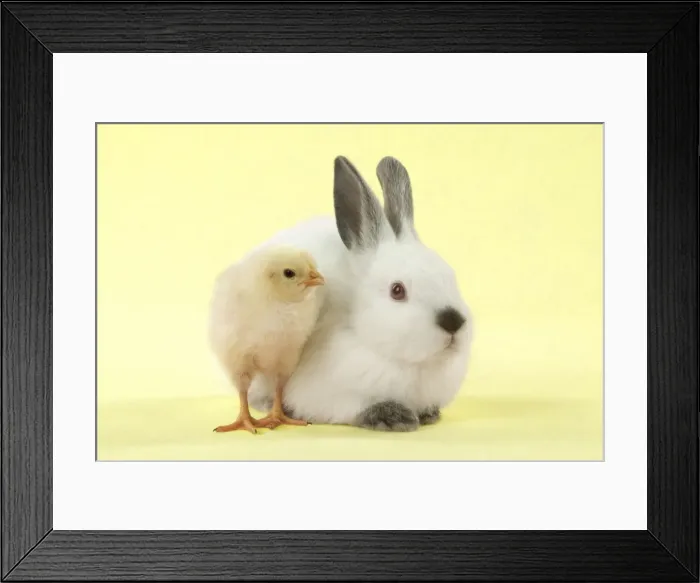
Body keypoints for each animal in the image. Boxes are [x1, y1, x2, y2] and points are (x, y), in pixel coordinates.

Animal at [246, 155, 473, 431]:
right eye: (397, 290)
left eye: (450, 276)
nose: (453, 321)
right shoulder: (328, 395)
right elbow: (355, 408)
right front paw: (395, 417)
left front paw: (429, 414)